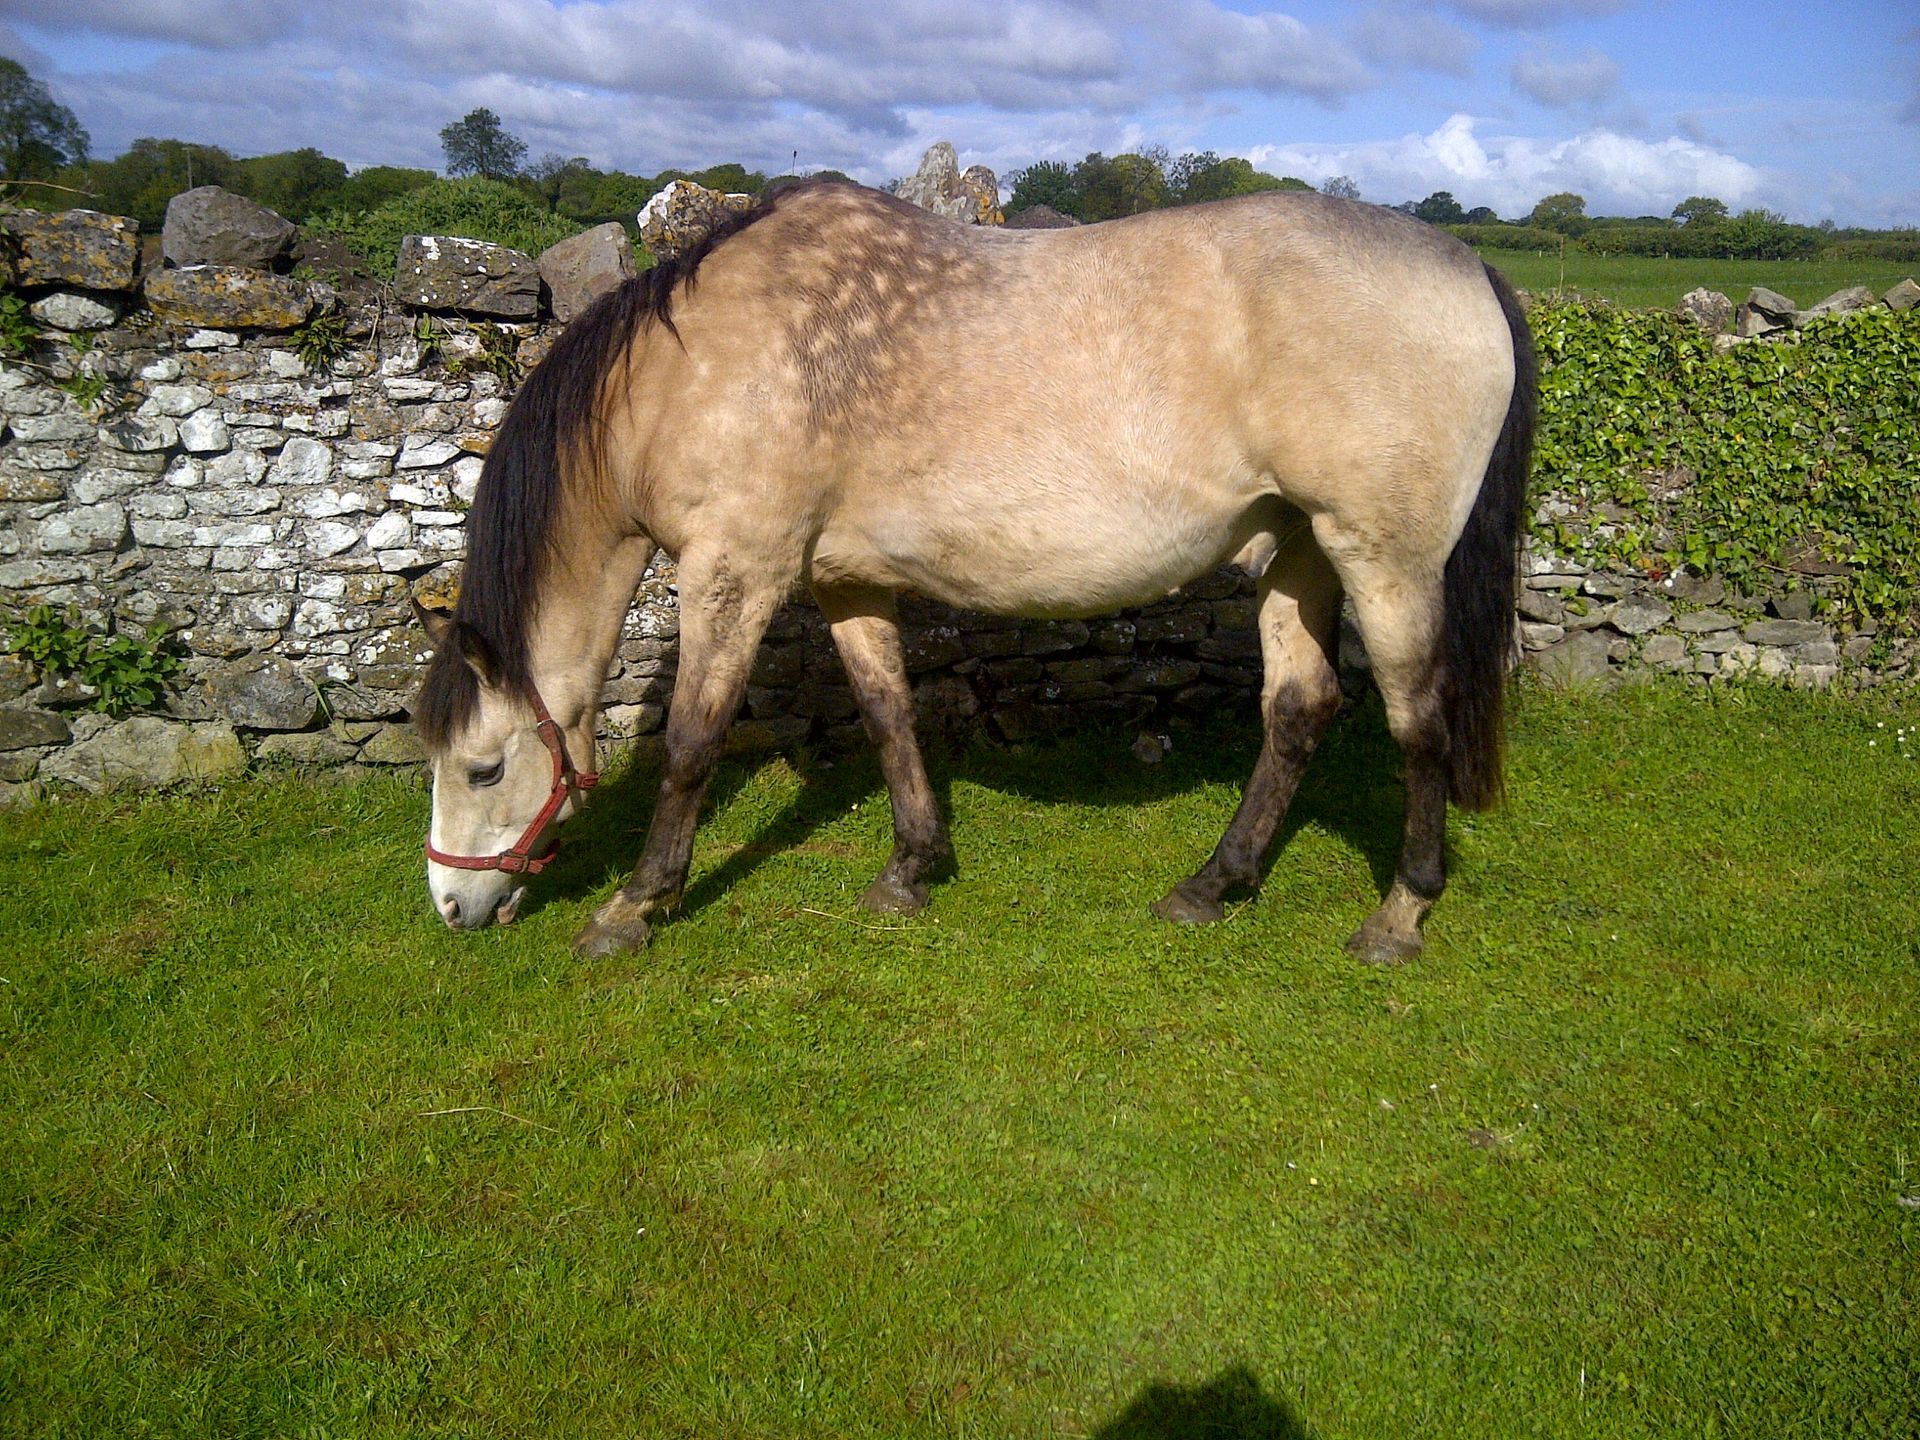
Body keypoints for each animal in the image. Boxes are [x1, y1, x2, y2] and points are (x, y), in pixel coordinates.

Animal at [412, 178, 1535, 964]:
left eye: (484, 767)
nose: (451, 907)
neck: (696, 367)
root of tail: (1465, 266)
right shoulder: (844, 580)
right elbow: (888, 714)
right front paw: (911, 870)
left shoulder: (736, 569)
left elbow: (693, 744)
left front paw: (634, 906)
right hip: (1299, 549)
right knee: (1300, 709)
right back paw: (1211, 886)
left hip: (1384, 559)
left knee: (1416, 720)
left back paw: (1400, 914)